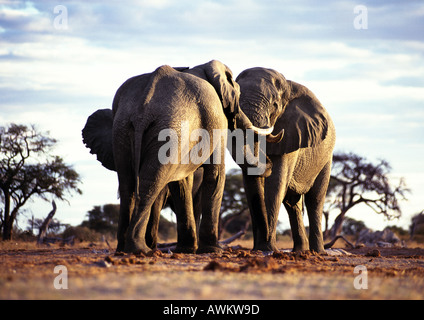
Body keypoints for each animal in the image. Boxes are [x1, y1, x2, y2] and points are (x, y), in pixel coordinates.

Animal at [83, 60, 276, 255]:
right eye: (238, 92)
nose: (269, 164)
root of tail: (142, 110)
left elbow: (181, 182)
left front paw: (186, 249)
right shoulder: (216, 121)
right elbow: (215, 174)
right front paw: (212, 250)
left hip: (123, 130)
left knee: (127, 183)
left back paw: (123, 249)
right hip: (168, 130)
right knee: (150, 182)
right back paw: (141, 249)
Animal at [232, 67, 334, 252]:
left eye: (274, 105)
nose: (267, 162)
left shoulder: (293, 133)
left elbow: (276, 183)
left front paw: (268, 249)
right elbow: (251, 186)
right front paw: (259, 249)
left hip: (326, 159)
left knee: (314, 200)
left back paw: (317, 252)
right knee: (292, 203)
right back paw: (300, 250)